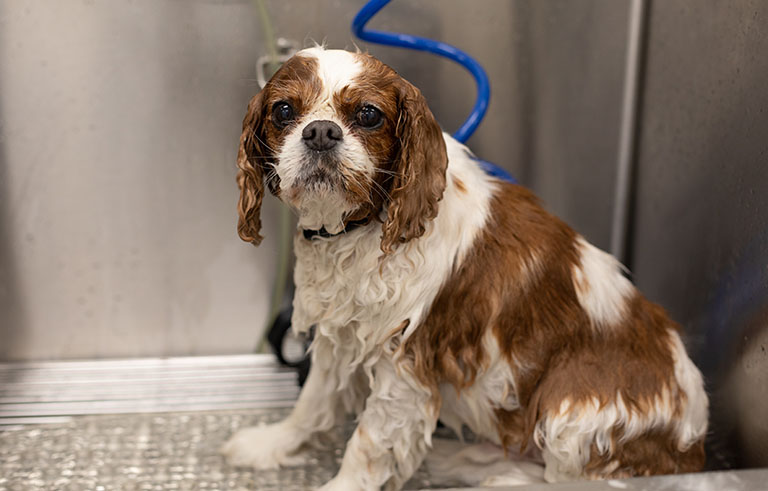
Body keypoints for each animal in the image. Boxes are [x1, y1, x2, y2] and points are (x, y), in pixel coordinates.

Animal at [220, 47, 708, 491]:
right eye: (284, 110)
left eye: (369, 114)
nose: (321, 131)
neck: (365, 227)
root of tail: (695, 447)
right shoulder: (343, 334)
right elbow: (312, 402)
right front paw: (271, 443)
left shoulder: (404, 368)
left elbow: (367, 446)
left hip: (571, 406)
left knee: (578, 480)